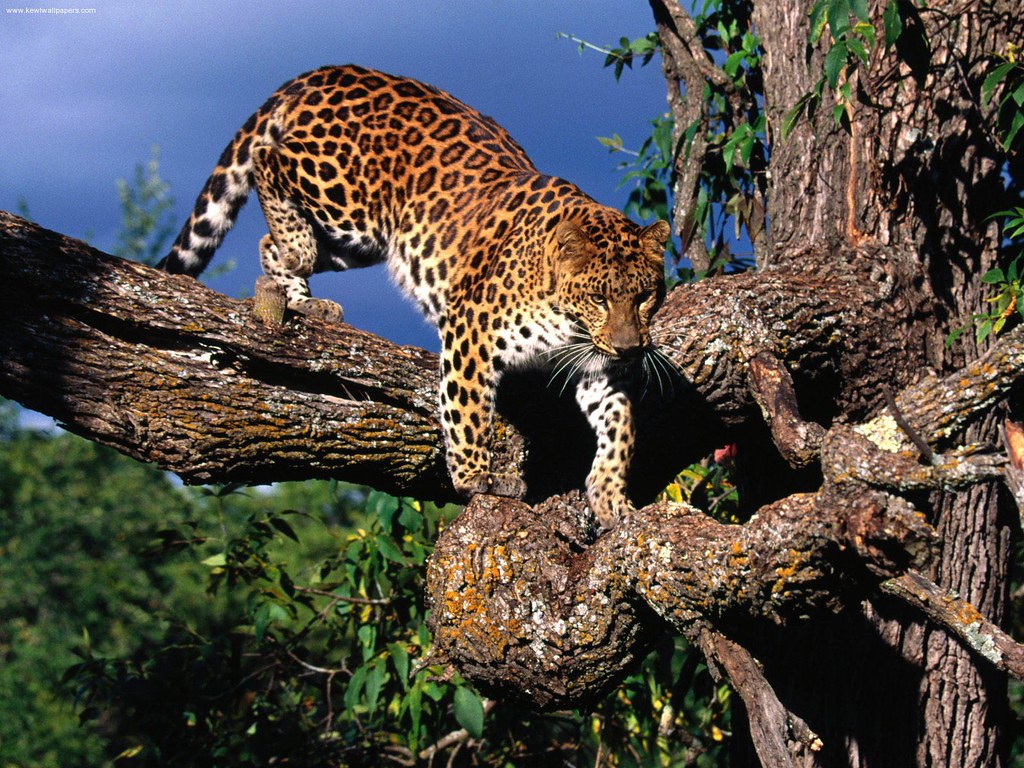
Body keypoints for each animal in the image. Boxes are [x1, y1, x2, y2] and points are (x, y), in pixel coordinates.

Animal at [160, 64, 670, 527]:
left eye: (645, 296)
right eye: (599, 298)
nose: (631, 349)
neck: (567, 318)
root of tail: (326, 70)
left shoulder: (600, 367)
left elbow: (620, 428)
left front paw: (611, 498)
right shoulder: (472, 327)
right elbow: (468, 408)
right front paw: (477, 478)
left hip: (359, 242)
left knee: (270, 245)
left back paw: (305, 299)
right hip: (343, 193)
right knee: (268, 160)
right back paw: (297, 246)